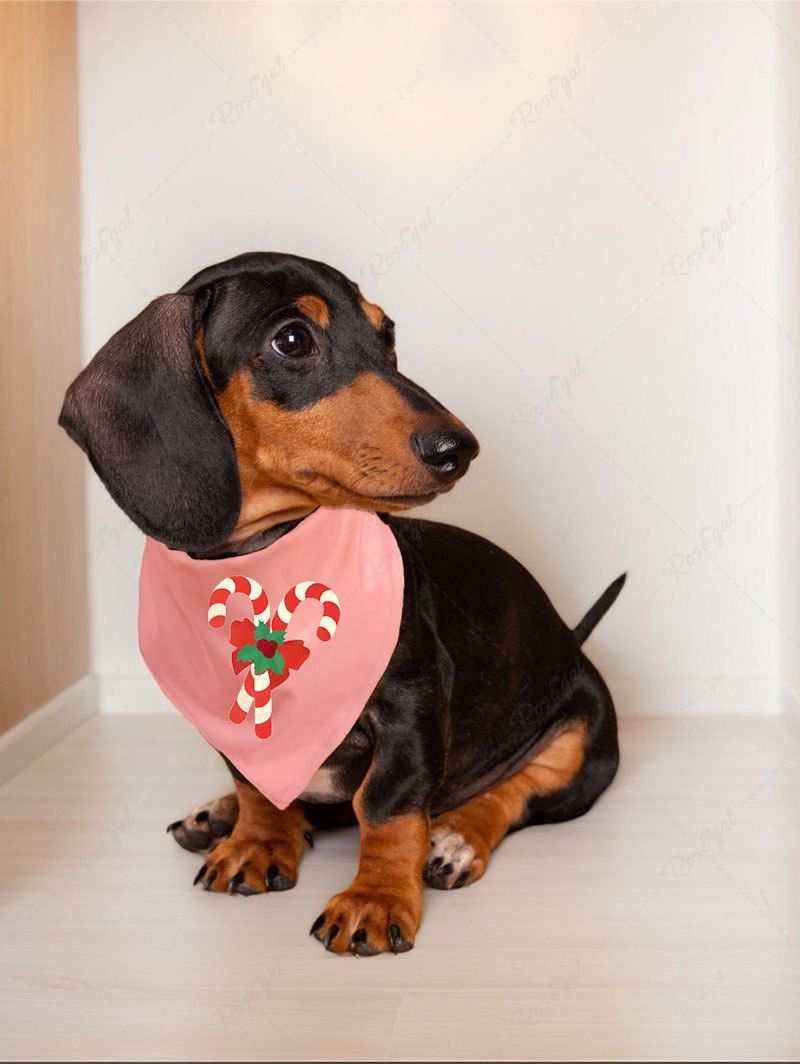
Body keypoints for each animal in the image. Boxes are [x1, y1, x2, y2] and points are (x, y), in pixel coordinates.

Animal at [62, 251, 625, 957]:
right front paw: (256, 840)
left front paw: (375, 898)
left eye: (387, 336)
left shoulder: (411, 701)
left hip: (585, 735)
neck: (269, 559)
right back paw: (218, 815)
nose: (459, 449)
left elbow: (386, 806)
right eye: (292, 340)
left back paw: (457, 840)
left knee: (516, 793)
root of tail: (573, 640)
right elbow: (255, 784)